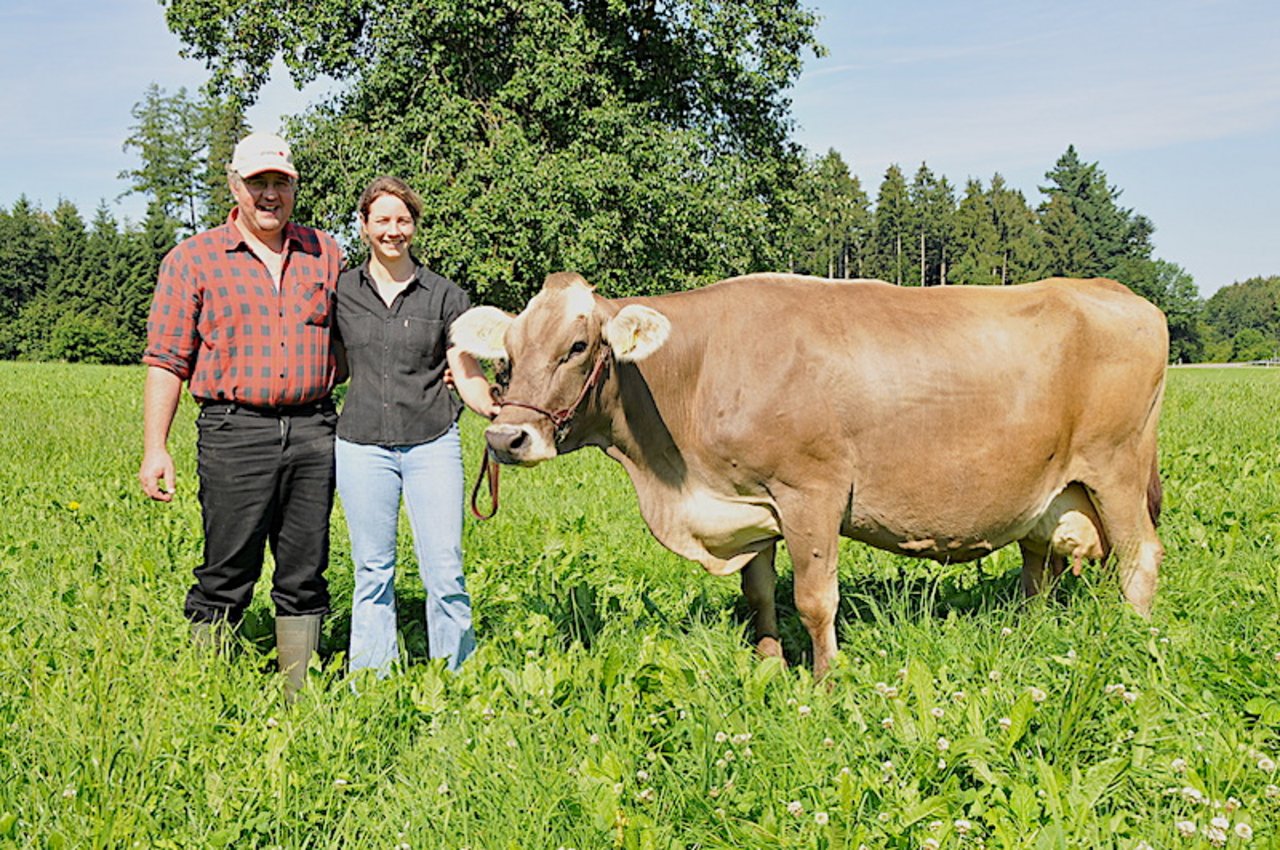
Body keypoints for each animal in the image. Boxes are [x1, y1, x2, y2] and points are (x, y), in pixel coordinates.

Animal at [453, 272, 1172, 675]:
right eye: (507, 352)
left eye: (577, 347)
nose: (505, 436)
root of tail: (1120, 295)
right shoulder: (749, 503)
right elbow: (760, 593)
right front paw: (769, 665)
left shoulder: (812, 493)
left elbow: (814, 598)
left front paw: (825, 682)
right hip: (1048, 490)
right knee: (1037, 568)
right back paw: (1024, 632)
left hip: (1116, 467)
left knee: (1140, 556)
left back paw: (1135, 641)